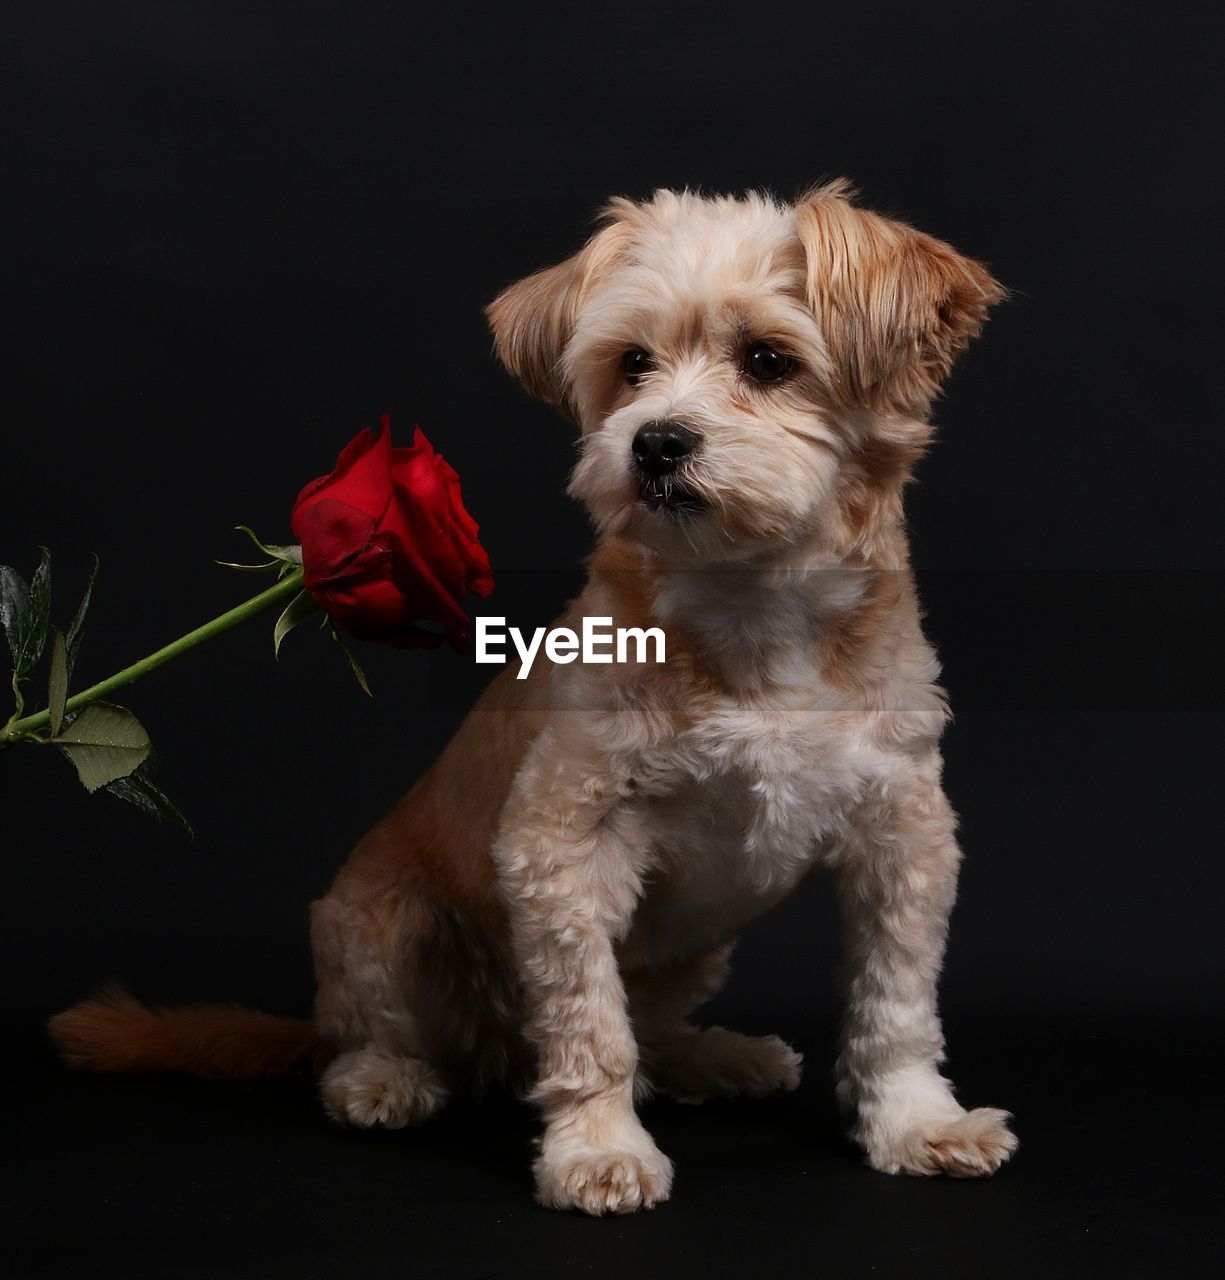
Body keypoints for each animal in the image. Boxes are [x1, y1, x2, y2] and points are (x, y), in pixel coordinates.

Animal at [52, 180, 1013, 1208]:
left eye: (768, 359)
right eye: (631, 365)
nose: (655, 442)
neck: (749, 614)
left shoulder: (904, 835)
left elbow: (896, 1007)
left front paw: (916, 1121)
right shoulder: (564, 840)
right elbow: (589, 1027)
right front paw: (596, 1148)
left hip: (692, 947)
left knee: (651, 1032)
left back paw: (711, 1057)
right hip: (379, 929)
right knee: (378, 1035)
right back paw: (385, 1079)